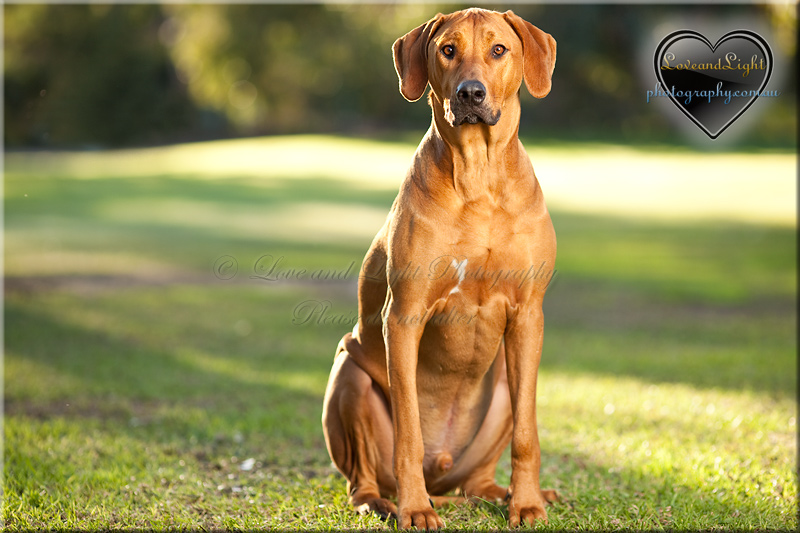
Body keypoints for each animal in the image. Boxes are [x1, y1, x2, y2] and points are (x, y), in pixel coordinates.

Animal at [318, 8, 556, 528]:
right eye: (448, 50)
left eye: (498, 49)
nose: (470, 93)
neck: (478, 177)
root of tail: (444, 477)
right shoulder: (404, 317)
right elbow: (409, 432)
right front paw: (414, 510)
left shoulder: (528, 314)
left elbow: (527, 434)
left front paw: (527, 503)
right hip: (350, 374)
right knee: (362, 478)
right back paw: (386, 502)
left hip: (502, 389)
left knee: (481, 475)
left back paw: (506, 493)